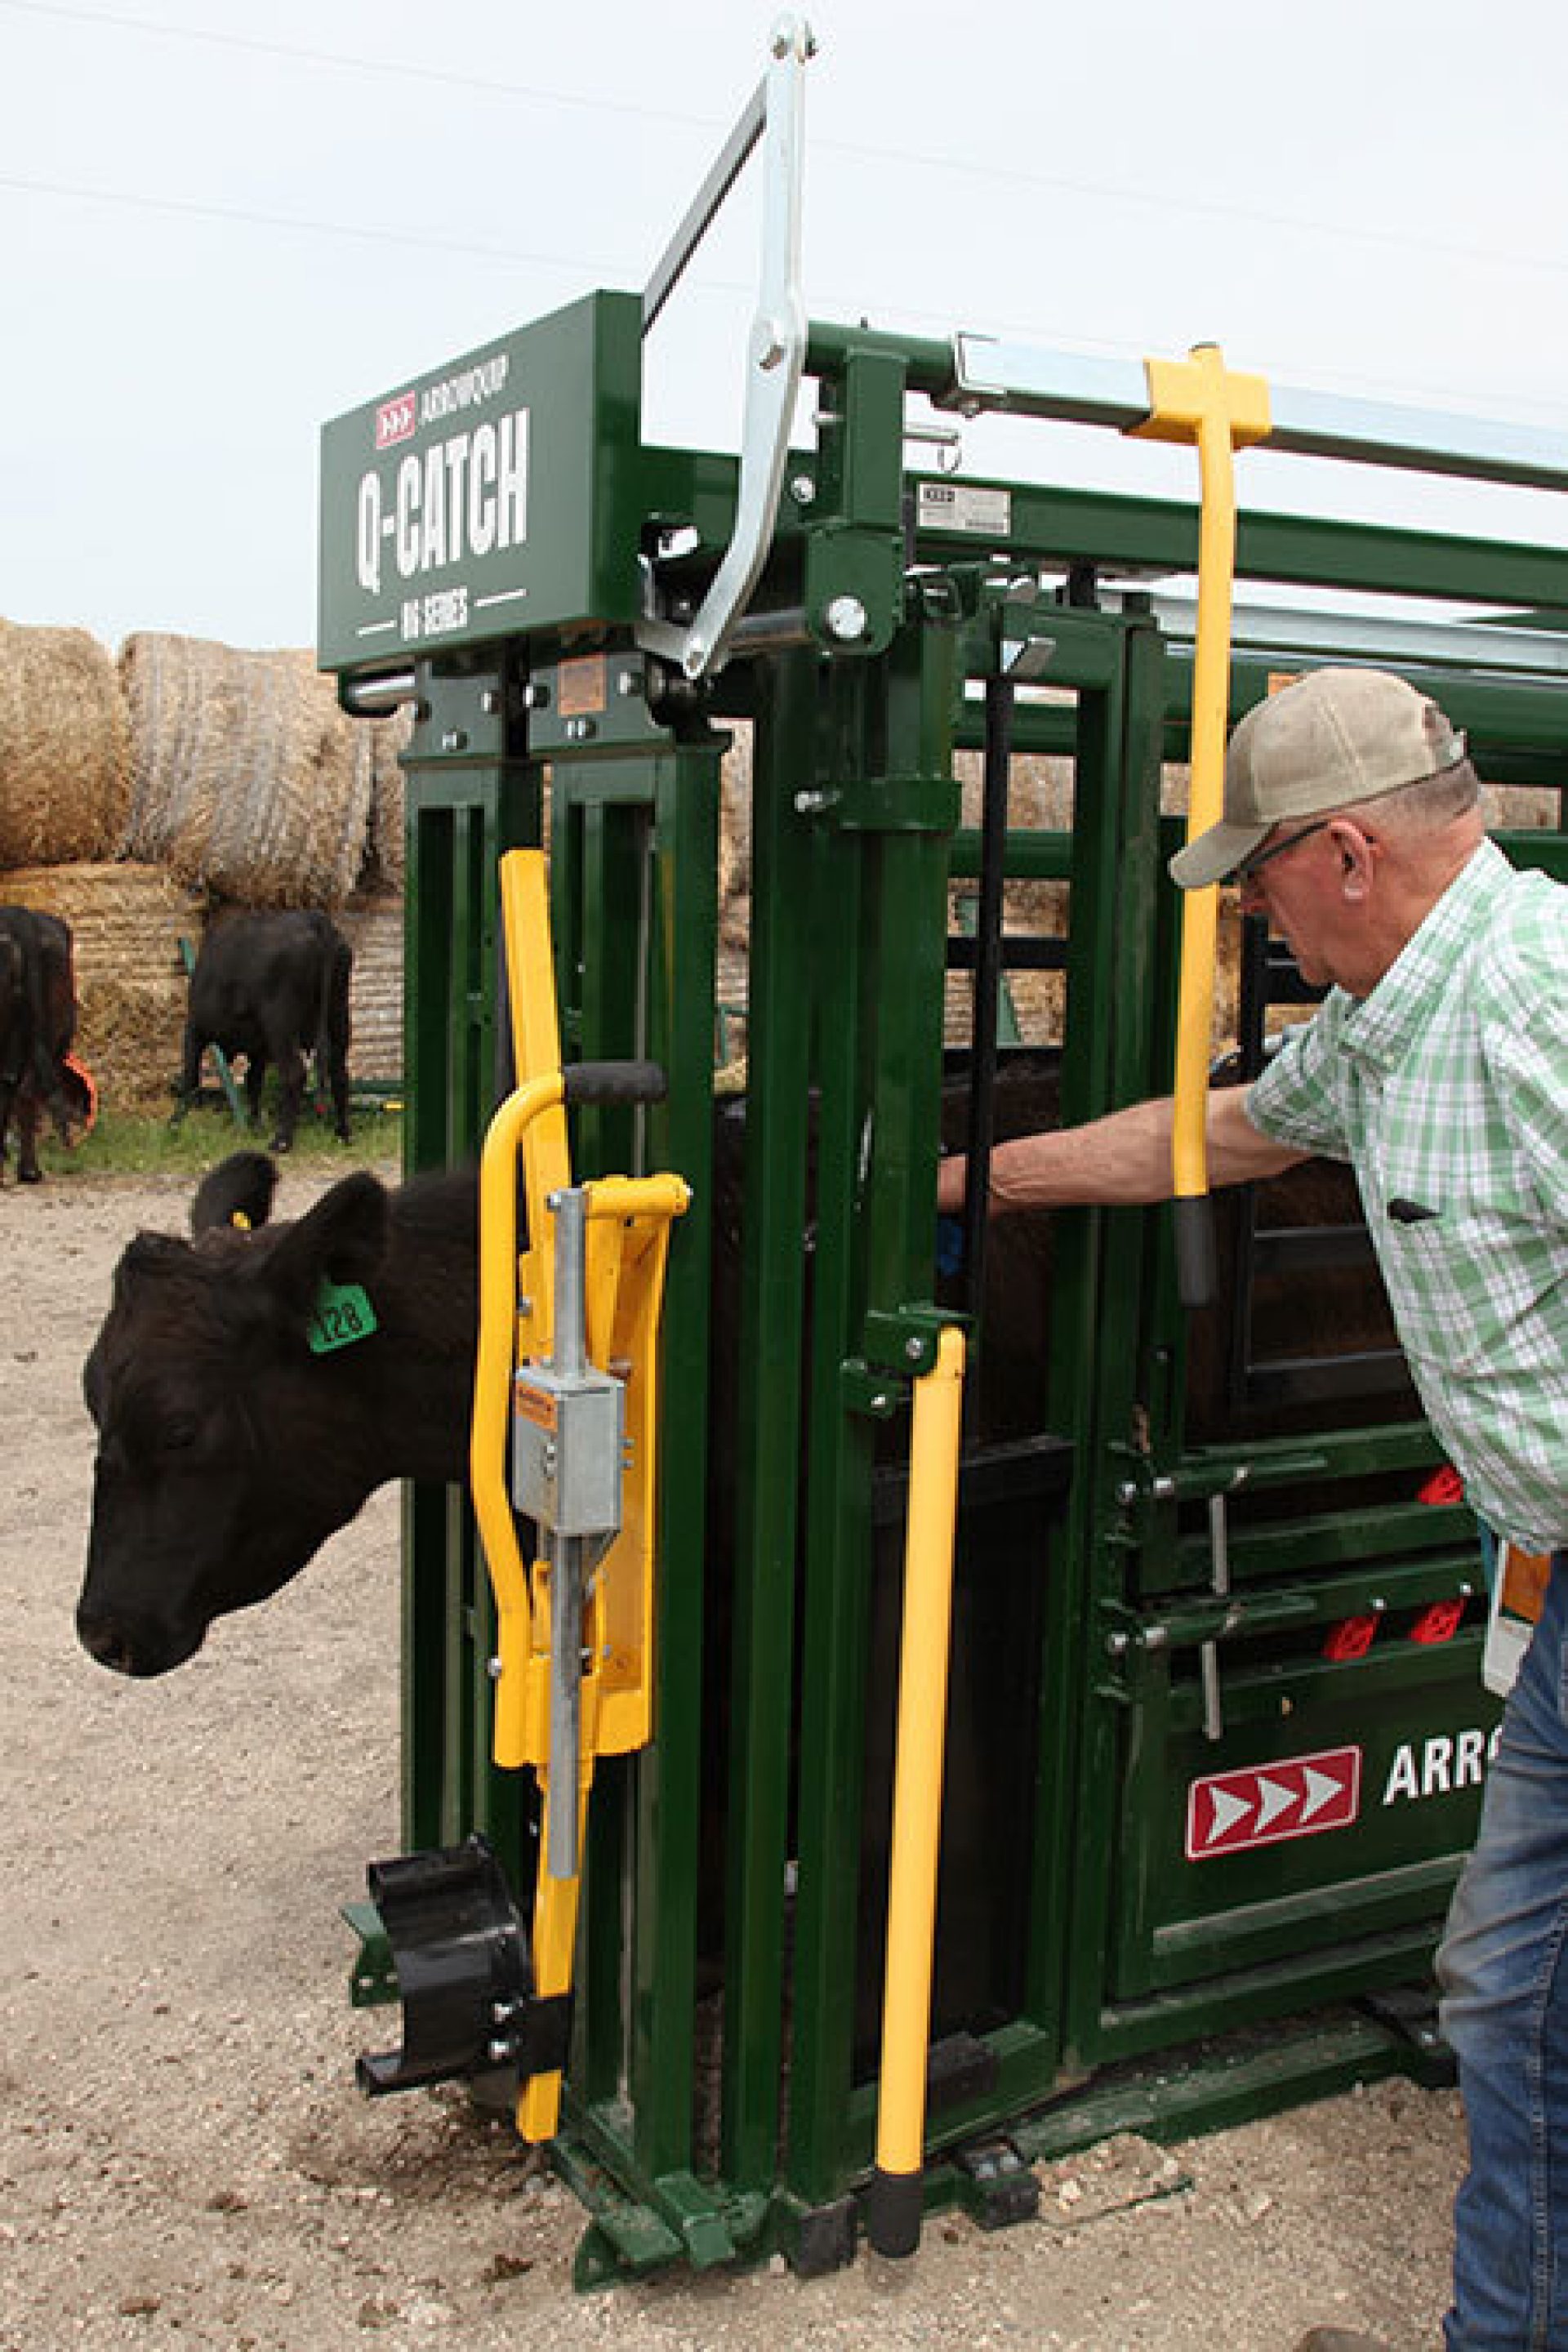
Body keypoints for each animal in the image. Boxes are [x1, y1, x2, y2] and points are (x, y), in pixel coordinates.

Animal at [180, 902, 354, 1152]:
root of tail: (316, 921)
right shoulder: (260, 1048)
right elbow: (253, 1081)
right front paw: (254, 1125)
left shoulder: (194, 1029)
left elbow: (190, 1079)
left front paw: (175, 1125)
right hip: (338, 1016)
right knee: (339, 1074)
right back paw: (343, 1133)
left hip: (280, 1025)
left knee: (294, 1073)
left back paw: (282, 1140)